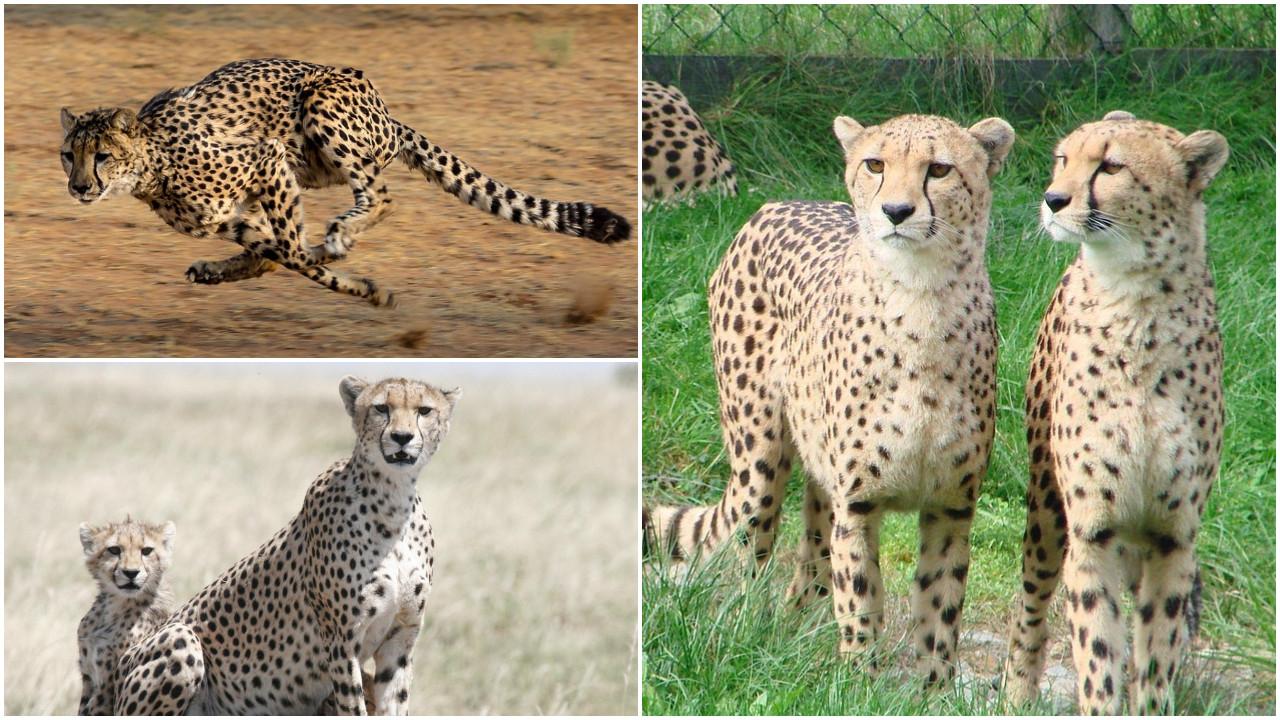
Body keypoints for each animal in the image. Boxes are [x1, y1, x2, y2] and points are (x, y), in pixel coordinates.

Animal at [60, 58, 631, 308]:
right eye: (69, 156)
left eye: (102, 156)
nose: (79, 188)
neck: (151, 165)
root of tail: (388, 113)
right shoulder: (228, 215)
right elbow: (277, 253)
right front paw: (357, 283)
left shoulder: (266, 158)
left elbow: (292, 252)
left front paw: (360, 283)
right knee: (277, 250)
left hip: (320, 109)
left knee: (380, 195)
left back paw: (339, 235)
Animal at [111, 376, 459, 714]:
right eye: (381, 408)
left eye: (424, 411)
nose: (401, 437)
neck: (392, 501)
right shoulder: (342, 641)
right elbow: (354, 706)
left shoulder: (400, 639)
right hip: (180, 639)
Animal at [645, 113, 1014, 685]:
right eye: (875, 164)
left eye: (939, 169)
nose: (896, 211)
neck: (922, 296)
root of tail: (778, 204)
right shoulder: (858, 504)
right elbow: (861, 597)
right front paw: (860, 682)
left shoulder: (952, 507)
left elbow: (941, 610)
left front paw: (931, 690)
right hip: (759, 462)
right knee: (755, 546)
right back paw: (749, 637)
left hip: (820, 475)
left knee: (812, 564)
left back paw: (793, 636)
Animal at [1002, 111, 1227, 714]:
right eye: (1063, 159)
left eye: (1111, 166)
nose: (1053, 198)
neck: (1136, 302)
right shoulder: (1092, 531)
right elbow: (1097, 652)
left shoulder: (1174, 538)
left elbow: (1155, 653)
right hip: (1045, 509)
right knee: (1032, 599)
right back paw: (1017, 691)